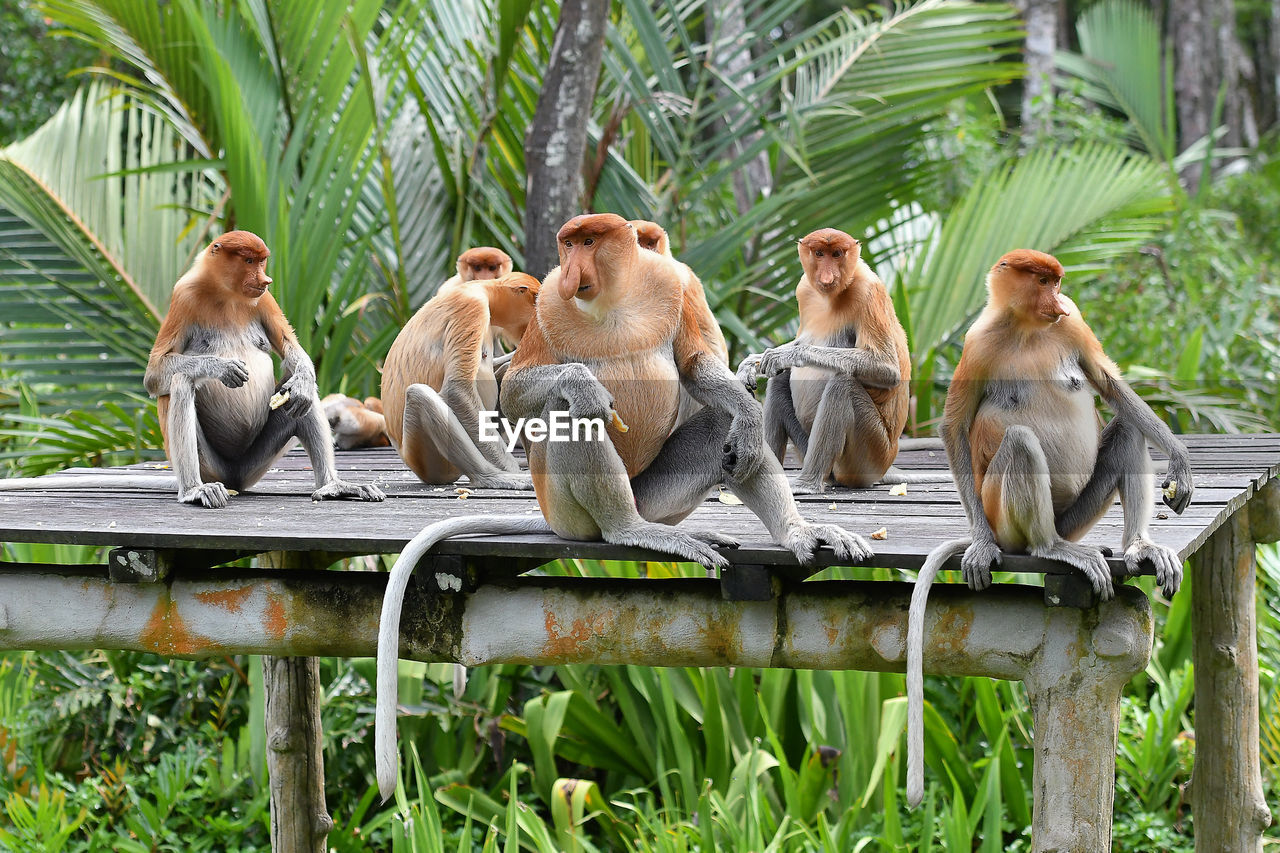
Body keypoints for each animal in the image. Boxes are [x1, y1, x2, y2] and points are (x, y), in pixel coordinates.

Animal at [378, 268, 540, 489]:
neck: (485, 290)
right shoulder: (472, 307)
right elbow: (458, 391)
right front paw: (511, 469)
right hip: (428, 458)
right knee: (420, 396)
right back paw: (490, 477)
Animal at [742, 229, 942, 489]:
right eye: (819, 253)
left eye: (837, 254)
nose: (827, 277)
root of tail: (887, 463)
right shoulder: (804, 289)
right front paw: (751, 363)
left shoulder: (868, 293)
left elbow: (887, 369)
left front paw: (787, 355)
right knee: (780, 380)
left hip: (868, 456)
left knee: (842, 385)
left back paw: (807, 483)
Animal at [906, 245, 1192, 804]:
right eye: (1043, 281)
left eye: (1058, 284)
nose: (1058, 299)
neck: (1025, 327)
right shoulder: (978, 342)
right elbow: (954, 424)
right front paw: (979, 546)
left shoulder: (1074, 325)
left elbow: (1109, 384)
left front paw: (1180, 460)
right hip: (1004, 514)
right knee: (1019, 441)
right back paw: (1048, 548)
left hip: (1081, 511)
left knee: (1126, 430)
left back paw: (1140, 546)